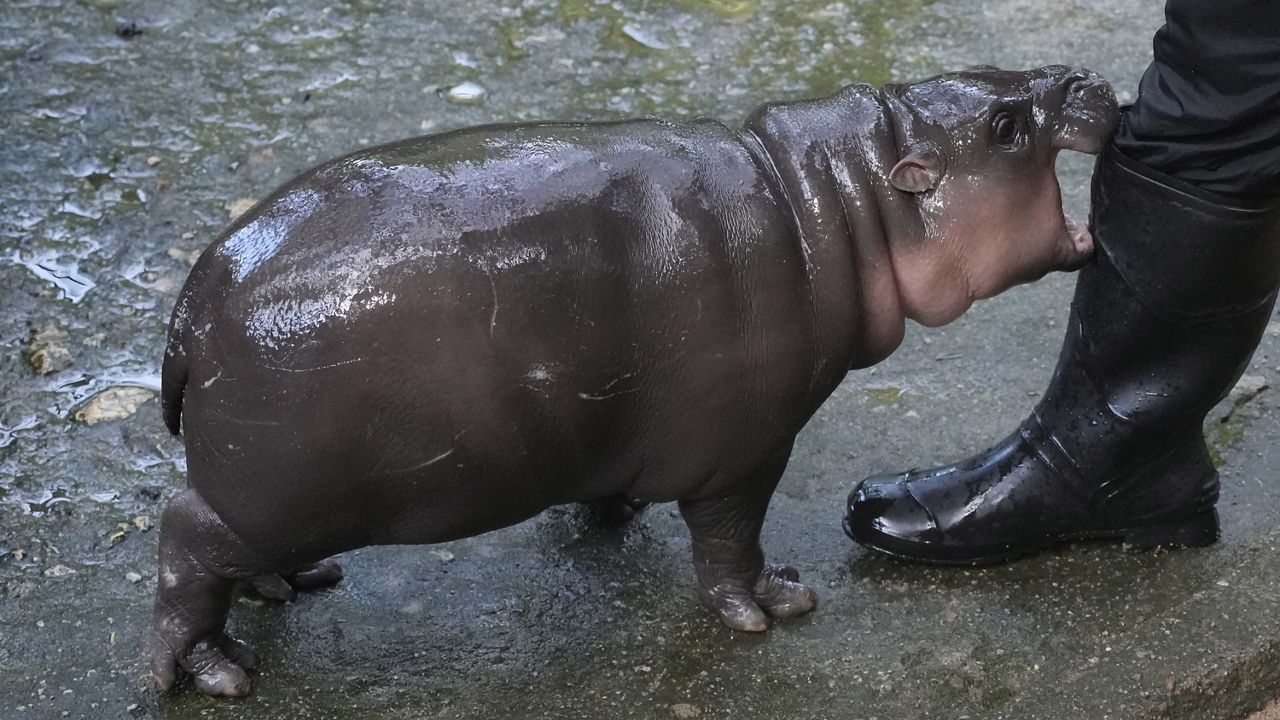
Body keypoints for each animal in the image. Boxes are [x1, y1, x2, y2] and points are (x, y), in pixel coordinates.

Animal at [145, 64, 1116, 691]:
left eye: (995, 75)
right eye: (1005, 127)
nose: (1086, 77)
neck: (841, 200)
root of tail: (198, 300)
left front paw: (610, 515)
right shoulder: (750, 447)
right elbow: (730, 541)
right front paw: (775, 604)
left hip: (271, 496)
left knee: (230, 555)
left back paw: (287, 587)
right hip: (270, 491)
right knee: (184, 538)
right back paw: (212, 674)